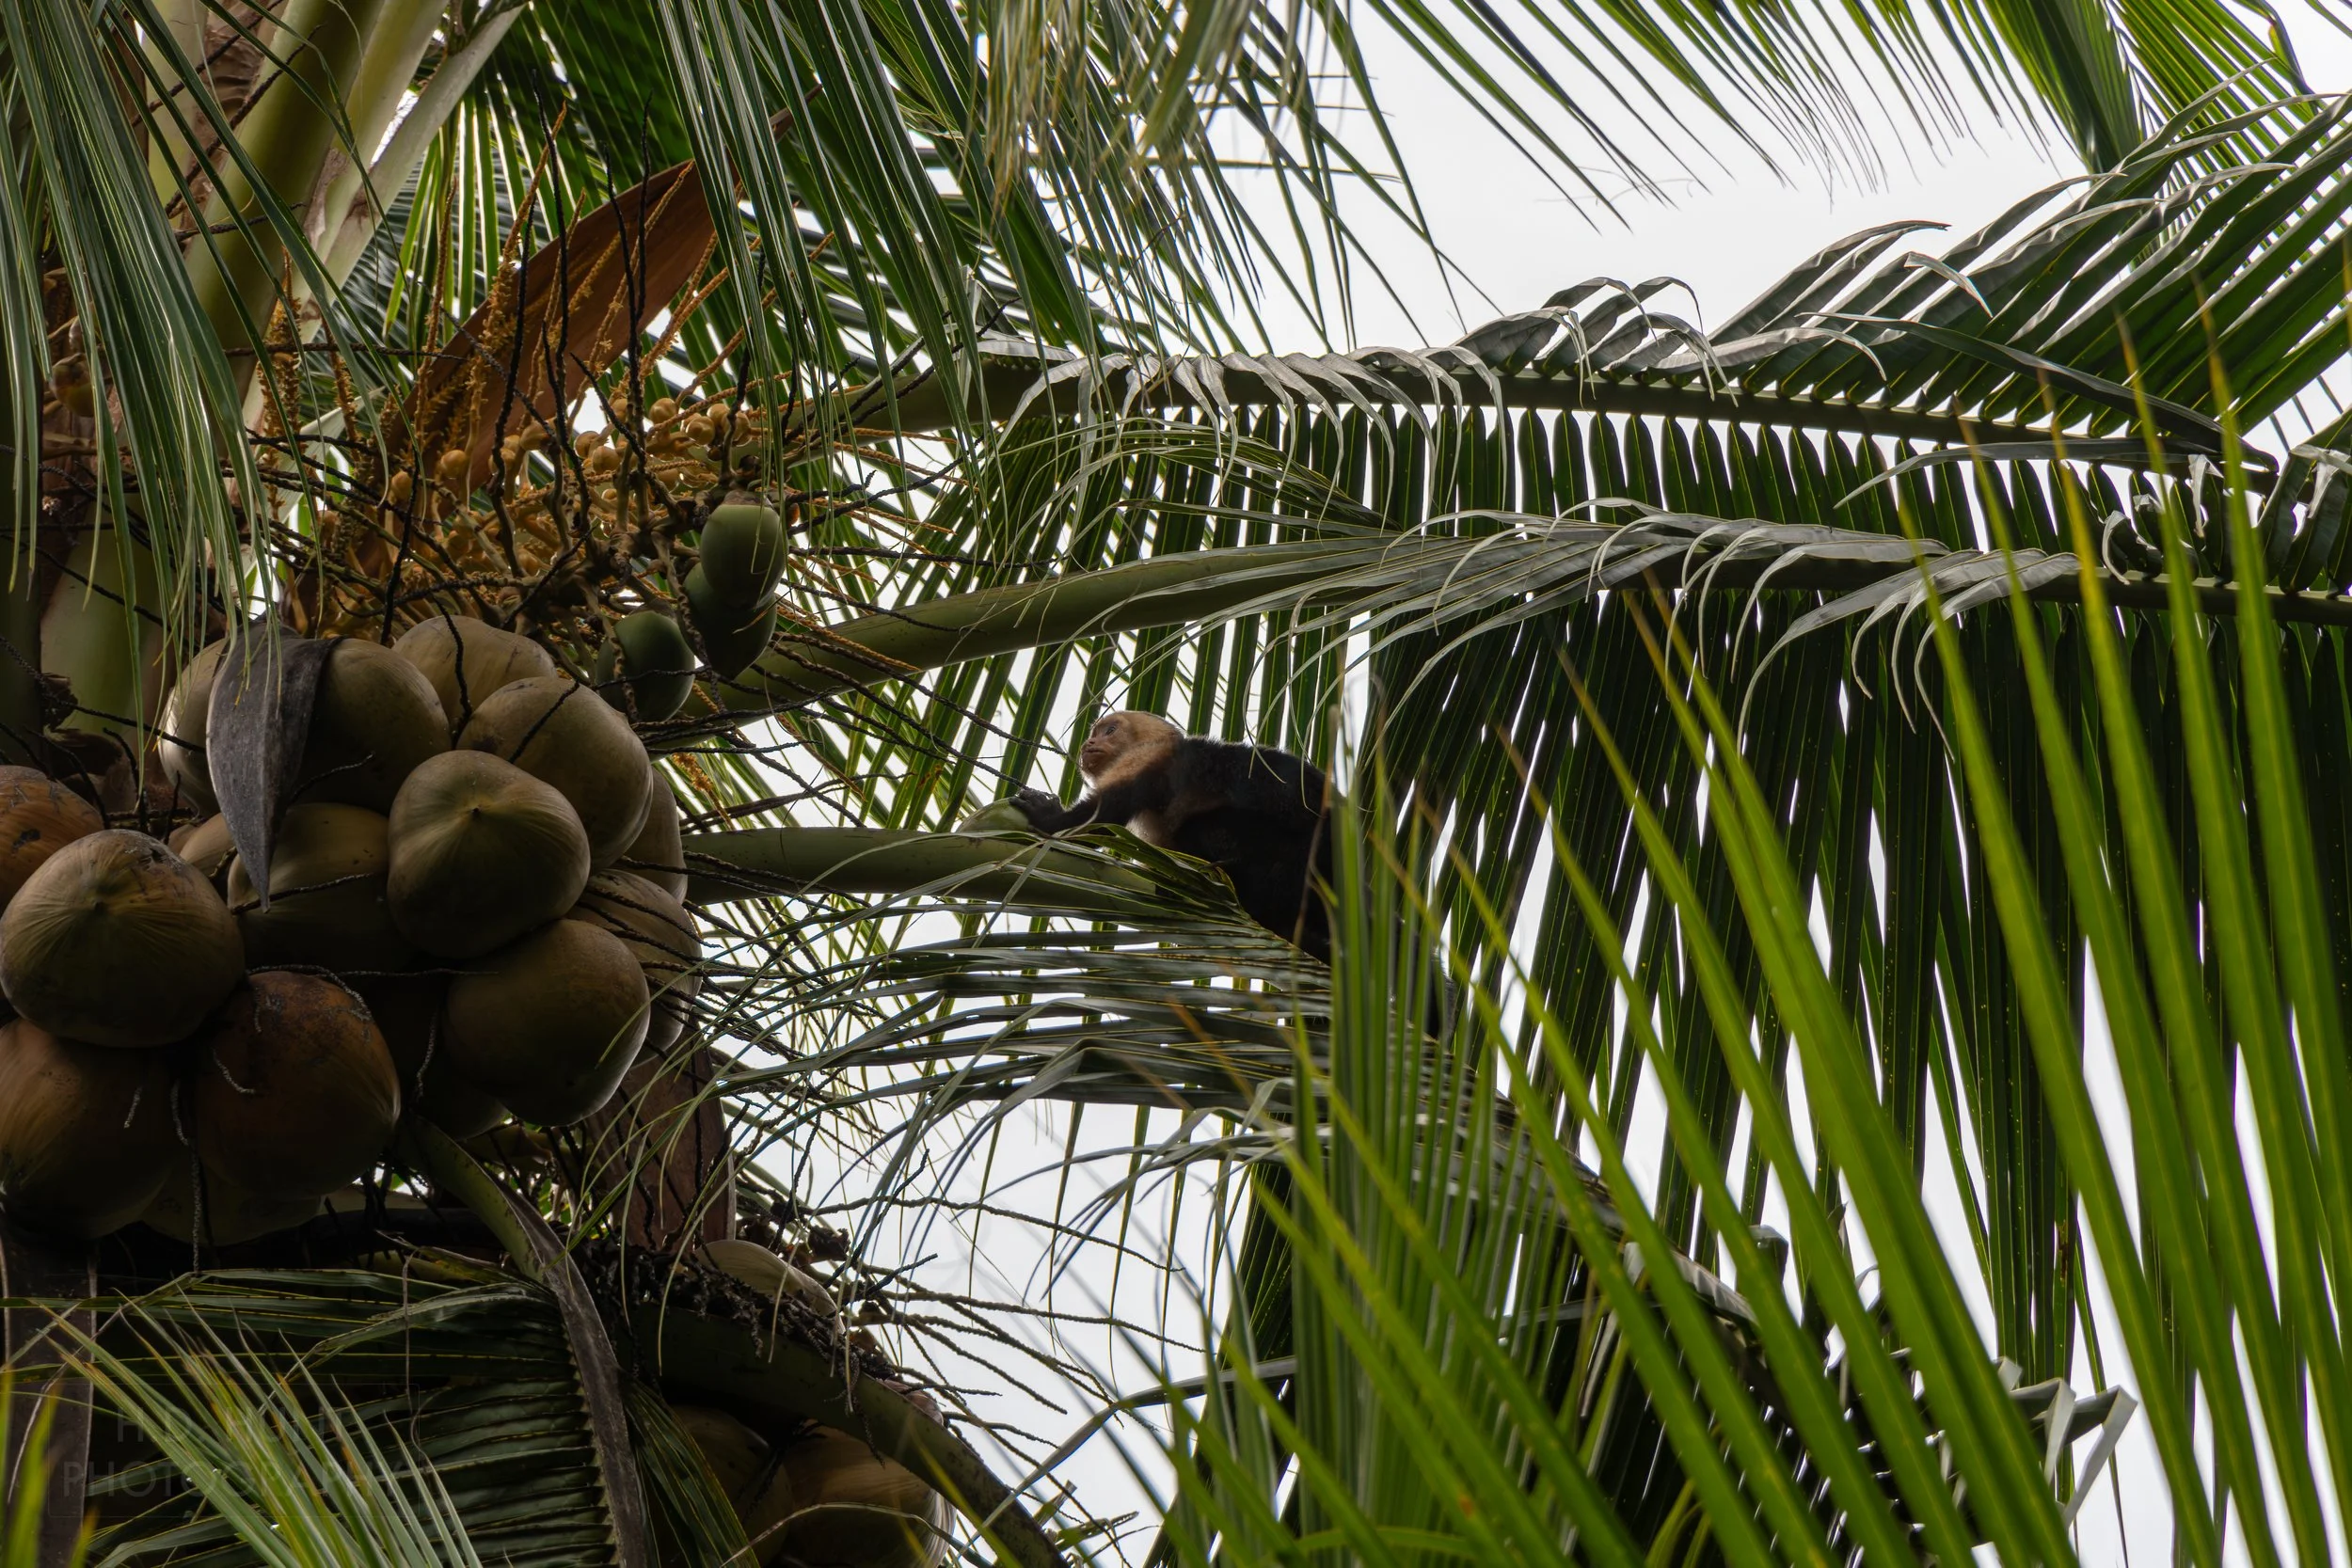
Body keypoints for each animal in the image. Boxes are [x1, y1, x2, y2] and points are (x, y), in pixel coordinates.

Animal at [1011, 711, 1335, 960]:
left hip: (1288, 860)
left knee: (1202, 827)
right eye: (1095, 734)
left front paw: (1045, 816)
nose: (1089, 743)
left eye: (1110, 731)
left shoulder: (1146, 758)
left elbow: (1101, 818)